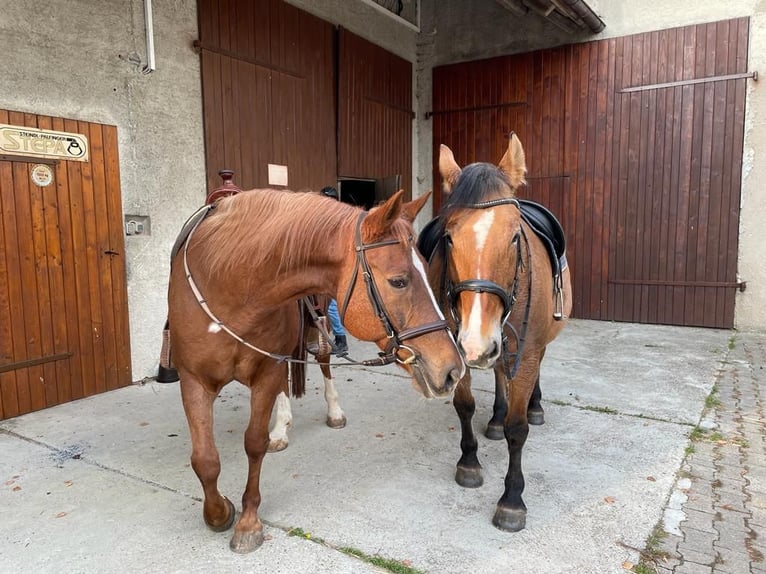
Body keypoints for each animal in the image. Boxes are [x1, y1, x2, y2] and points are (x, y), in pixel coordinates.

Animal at [167, 189, 462, 552]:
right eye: (399, 281)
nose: (452, 369)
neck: (229, 287)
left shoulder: (266, 371)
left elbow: (254, 443)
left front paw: (248, 522)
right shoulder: (193, 380)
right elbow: (205, 459)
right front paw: (219, 513)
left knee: (323, 363)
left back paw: (332, 412)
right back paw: (281, 428)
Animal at [416, 135, 572, 536]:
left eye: (516, 237)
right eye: (448, 238)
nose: (478, 343)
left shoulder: (524, 351)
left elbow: (518, 430)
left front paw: (512, 500)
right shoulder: (459, 348)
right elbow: (465, 406)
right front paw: (469, 462)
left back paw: (534, 406)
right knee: (500, 372)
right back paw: (496, 418)